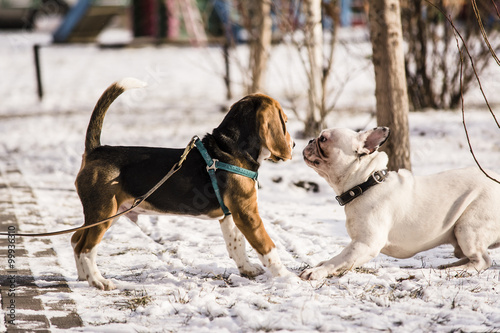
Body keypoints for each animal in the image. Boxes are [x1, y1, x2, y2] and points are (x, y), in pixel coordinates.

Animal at [72, 78, 294, 288]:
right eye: (284, 120)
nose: (293, 144)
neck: (232, 149)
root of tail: (96, 150)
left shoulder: (231, 215)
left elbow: (236, 244)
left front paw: (247, 269)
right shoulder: (248, 215)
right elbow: (267, 247)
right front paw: (285, 276)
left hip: (109, 213)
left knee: (76, 240)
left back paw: (83, 277)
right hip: (104, 213)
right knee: (86, 248)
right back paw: (98, 281)